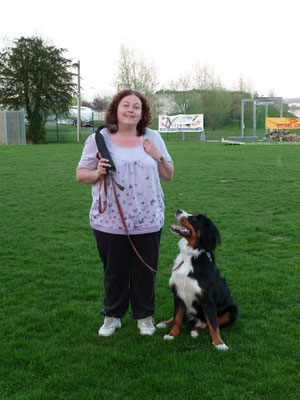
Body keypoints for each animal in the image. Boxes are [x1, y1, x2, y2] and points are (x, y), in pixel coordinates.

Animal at [157, 209, 239, 350]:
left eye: (195, 219)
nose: (178, 210)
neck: (189, 255)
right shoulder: (178, 294)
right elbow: (177, 318)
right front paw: (172, 334)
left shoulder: (207, 299)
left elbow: (213, 324)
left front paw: (219, 343)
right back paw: (164, 323)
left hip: (232, 311)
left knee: (208, 324)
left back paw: (196, 330)